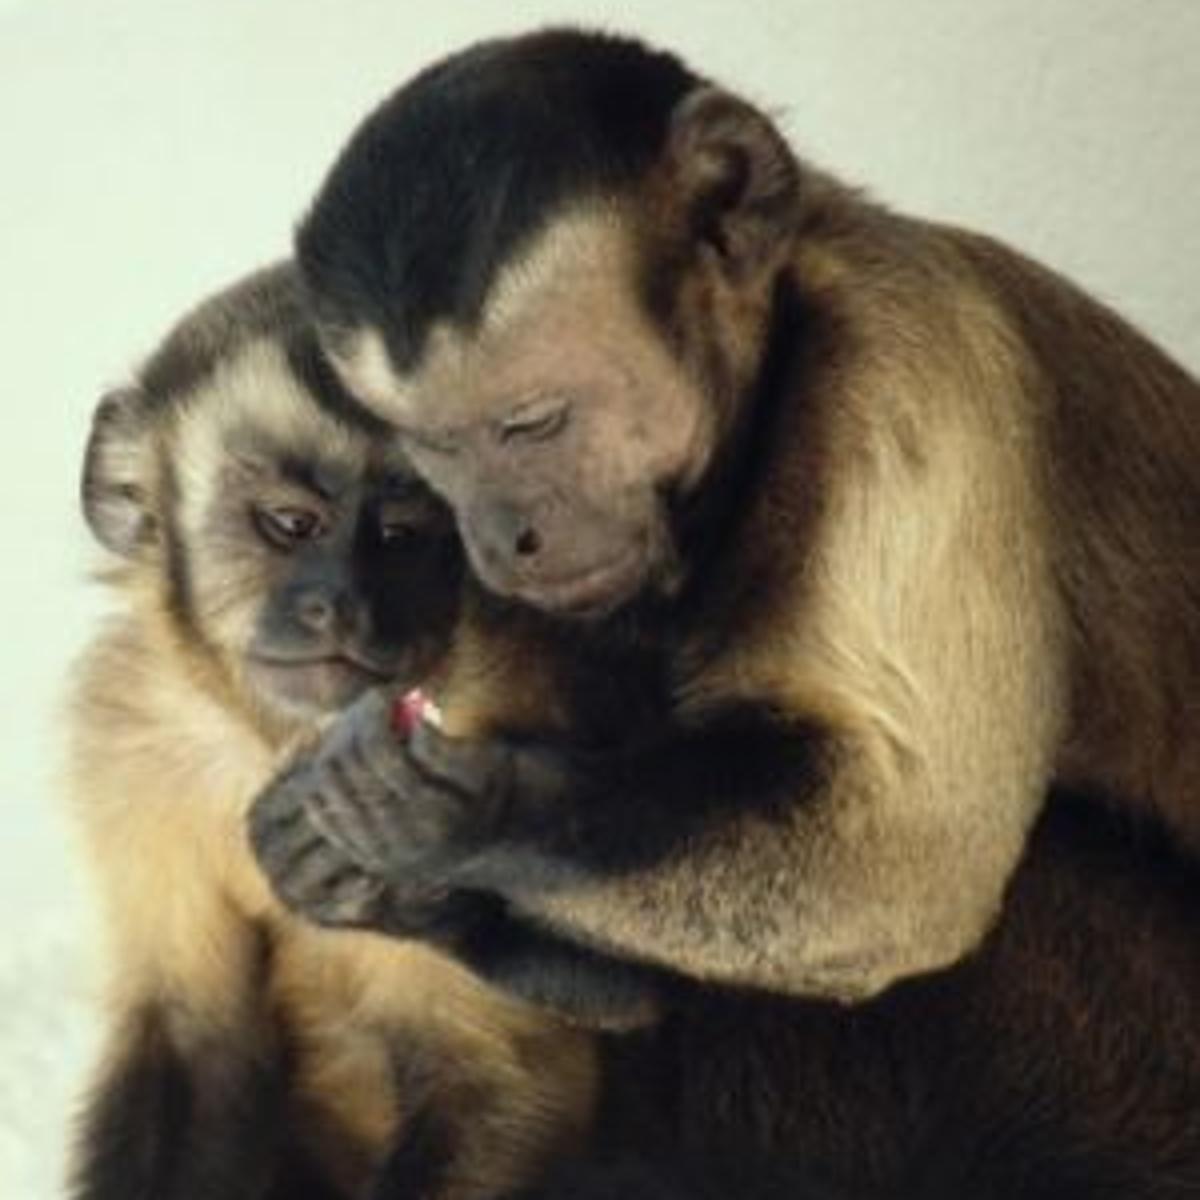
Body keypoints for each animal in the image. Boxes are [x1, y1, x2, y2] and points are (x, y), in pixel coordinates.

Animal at [66, 261, 597, 1200]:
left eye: (403, 535)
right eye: (290, 524)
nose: (343, 603)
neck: (276, 746)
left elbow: (502, 1080)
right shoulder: (132, 752)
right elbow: (192, 1039)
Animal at [246, 28, 1200, 1023]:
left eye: (532, 423)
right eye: (436, 445)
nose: (506, 536)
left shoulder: (907, 367)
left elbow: (911, 855)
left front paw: (466, 811)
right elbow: (635, 999)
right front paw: (375, 884)